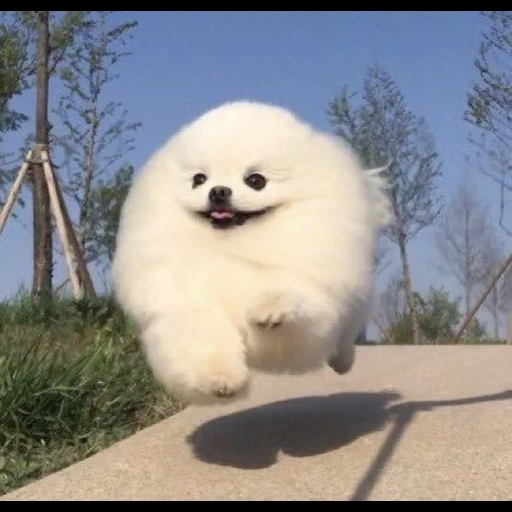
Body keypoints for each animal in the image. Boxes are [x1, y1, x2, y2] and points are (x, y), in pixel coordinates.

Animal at [112, 99, 392, 404]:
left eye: (256, 180)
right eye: (199, 179)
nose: (218, 191)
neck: (235, 247)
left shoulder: (309, 294)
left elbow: (290, 298)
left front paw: (271, 309)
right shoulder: (188, 301)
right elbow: (204, 338)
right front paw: (222, 379)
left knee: (345, 336)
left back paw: (342, 361)